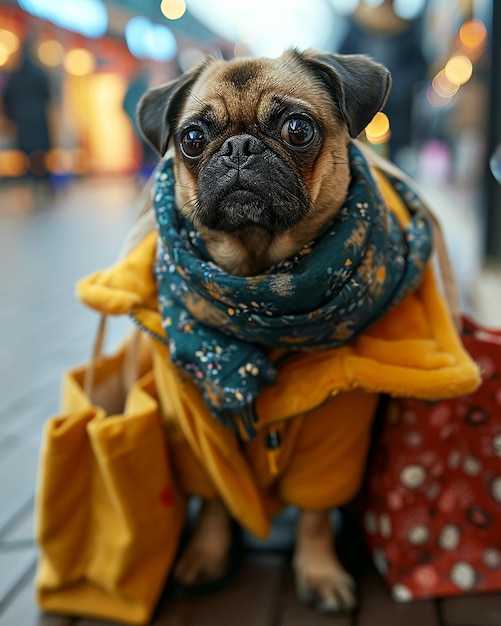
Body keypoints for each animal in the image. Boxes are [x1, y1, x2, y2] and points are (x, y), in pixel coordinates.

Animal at [137, 50, 390, 616]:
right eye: (192, 139)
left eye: (298, 129)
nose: (238, 147)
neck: (259, 283)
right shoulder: (201, 431)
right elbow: (216, 498)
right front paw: (205, 556)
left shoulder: (332, 436)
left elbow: (315, 515)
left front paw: (320, 573)